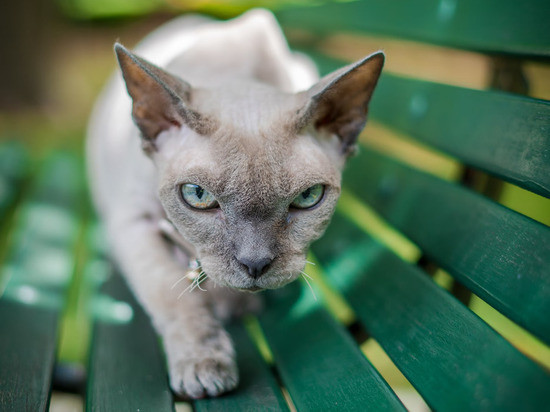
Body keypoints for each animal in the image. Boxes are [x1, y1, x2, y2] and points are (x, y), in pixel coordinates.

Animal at [88, 7, 386, 400]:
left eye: (307, 198)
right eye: (198, 196)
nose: (255, 264)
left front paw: (232, 305)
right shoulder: (132, 223)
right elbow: (173, 295)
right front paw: (204, 366)